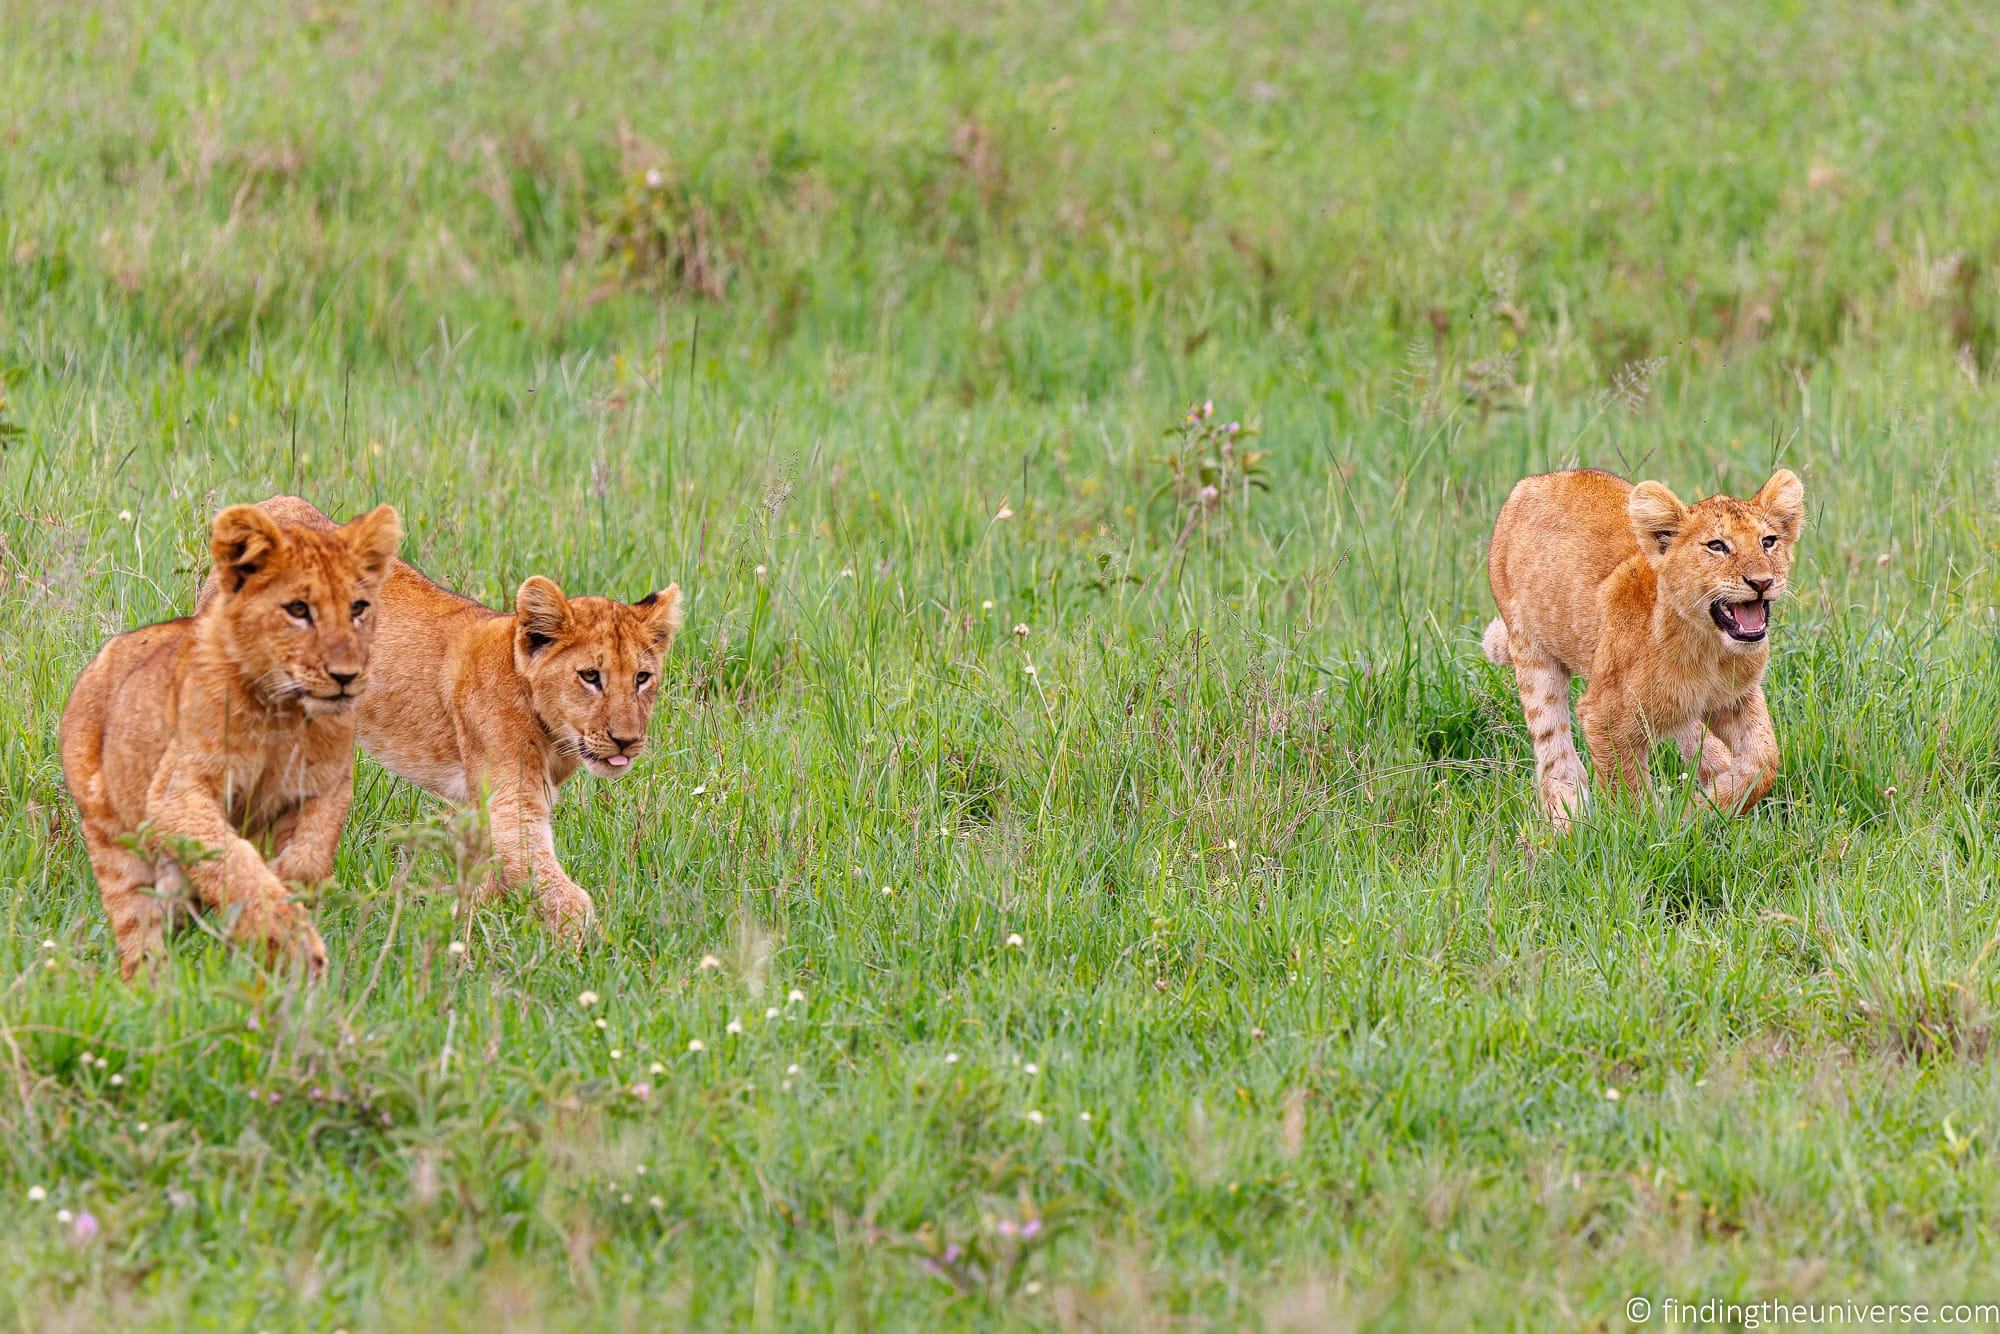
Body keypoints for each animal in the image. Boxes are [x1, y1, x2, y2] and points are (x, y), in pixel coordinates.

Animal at [61, 502, 402, 978]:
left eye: (358, 608)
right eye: (298, 609)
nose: (345, 676)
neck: (282, 712)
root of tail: (98, 663)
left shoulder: (326, 787)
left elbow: (309, 859)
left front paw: (287, 894)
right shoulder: (177, 794)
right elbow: (232, 859)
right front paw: (284, 932)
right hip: (113, 842)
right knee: (138, 940)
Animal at [206, 496, 684, 933]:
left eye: (642, 678)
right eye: (590, 676)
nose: (626, 741)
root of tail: (272, 503)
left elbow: (490, 878)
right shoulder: (511, 800)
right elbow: (555, 888)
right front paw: (594, 952)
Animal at [1482, 467, 1805, 829]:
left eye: (1768, 542)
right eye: (1717, 546)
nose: (1762, 581)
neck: (1709, 649)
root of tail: (1533, 481)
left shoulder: (1736, 697)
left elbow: (1763, 761)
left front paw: (1703, 809)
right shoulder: (1603, 715)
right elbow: (1629, 794)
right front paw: (1657, 830)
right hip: (1533, 655)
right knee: (1556, 756)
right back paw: (1567, 824)